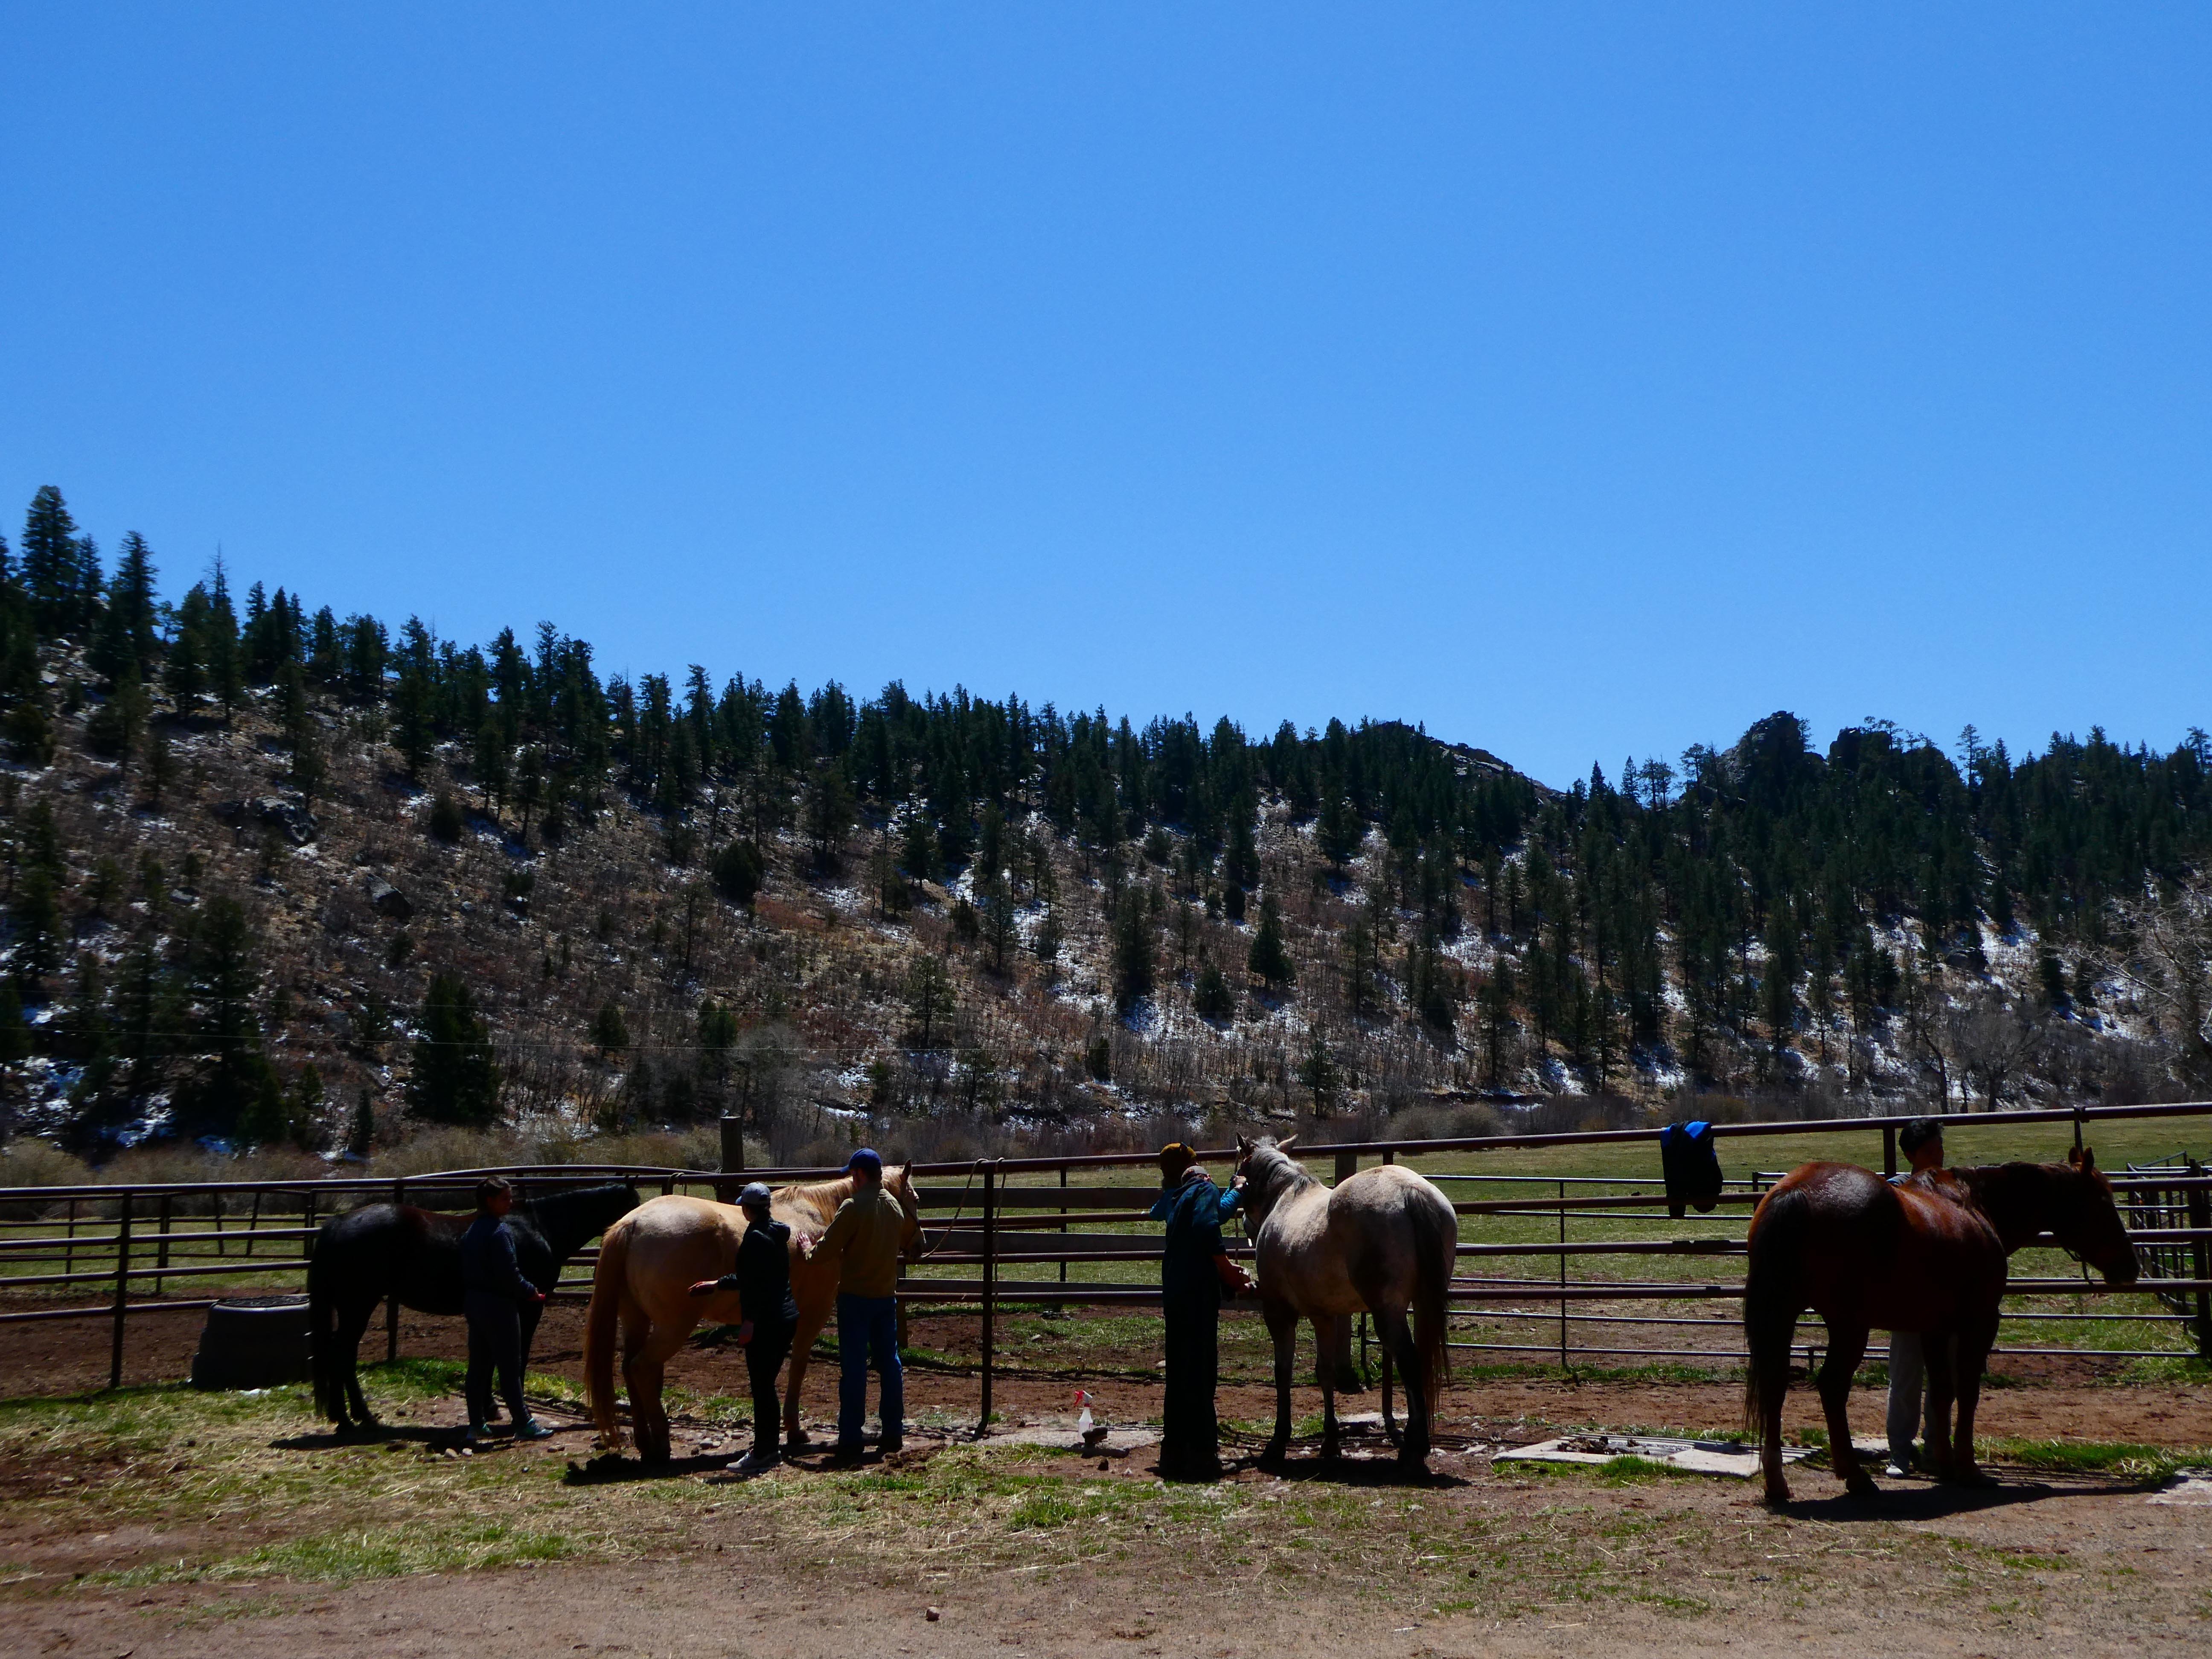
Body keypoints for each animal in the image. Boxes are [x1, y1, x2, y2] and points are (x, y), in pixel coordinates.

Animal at [303, 1176, 637, 1433]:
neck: (540, 1227)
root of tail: (338, 1224)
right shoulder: (528, 1306)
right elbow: (517, 1358)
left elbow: (490, 1359)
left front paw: (490, 1407)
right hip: (358, 1305)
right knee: (342, 1355)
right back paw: (353, 1419)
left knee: (342, 1355)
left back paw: (351, 1417)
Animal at [584, 1168, 920, 1469]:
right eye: (915, 1198)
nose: (921, 1245)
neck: (818, 1215)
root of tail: (632, 1223)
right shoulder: (815, 1311)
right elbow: (798, 1365)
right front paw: (795, 1430)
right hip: (673, 1326)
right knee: (642, 1368)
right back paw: (662, 1444)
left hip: (636, 1319)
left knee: (630, 1369)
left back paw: (645, 1443)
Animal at [1239, 1141, 1460, 1477]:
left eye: (1239, 1172)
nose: (1246, 1225)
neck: (1286, 1200)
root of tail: (1410, 1191)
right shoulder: (1324, 1316)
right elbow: (1326, 1373)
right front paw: (1331, 1443)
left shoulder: (1279, 1313)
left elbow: (1283, 1372)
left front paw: (1277, 1443)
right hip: (1423, 1304)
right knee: (1419, 1363)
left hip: (1388, 1313)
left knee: (1409, 1363)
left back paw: (1413, 1450)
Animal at [1743, 1150, 2141, 1513]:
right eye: (2103, 1202)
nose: (2130, 1266)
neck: (1973, 1206)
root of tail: (1796, 1192)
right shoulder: (1979, 1323)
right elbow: (1966, 1392)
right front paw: (1968, 1469)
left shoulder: (1933, 1327)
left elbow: (1940, 1394)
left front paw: (1945, 1464)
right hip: (1848, 1325)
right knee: (1832, 1388)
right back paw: (1855, 1477)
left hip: (1785, 1315)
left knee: (1776, 1387)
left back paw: (1778, 1483)